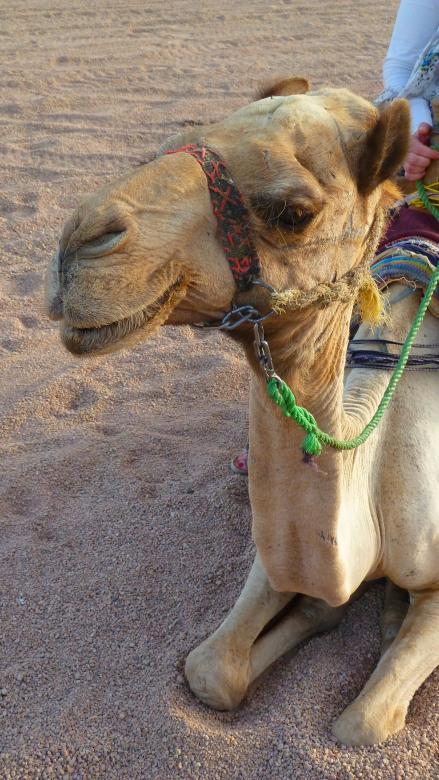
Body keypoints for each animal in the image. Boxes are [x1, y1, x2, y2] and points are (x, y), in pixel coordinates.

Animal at [45, 78, 439, 746]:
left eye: (293, 212)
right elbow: (210, 671)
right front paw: (326, 611)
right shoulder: (273, 558)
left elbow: (361, 724)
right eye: (178, 141)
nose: (78, 243)